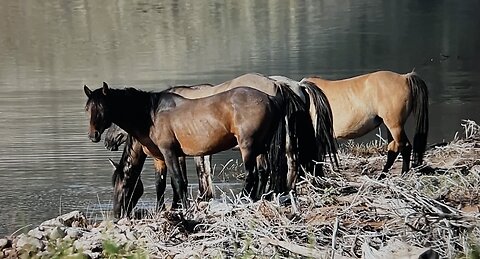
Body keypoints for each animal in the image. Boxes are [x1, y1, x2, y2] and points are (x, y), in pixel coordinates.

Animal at [84, 82, 316, 210]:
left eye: (124, 186)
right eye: (88, 109)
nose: (94, 136)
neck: (151, 115)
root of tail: (271, 96)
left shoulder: (170, 152)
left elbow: (179, 182)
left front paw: (184, 208)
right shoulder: (160, 158)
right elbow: (161, 185)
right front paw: (162, 210)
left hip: (248, 146)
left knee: (252, 175)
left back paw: (243, 199)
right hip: (261, 146)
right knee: (264, 171)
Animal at [302, 70, 430, 175]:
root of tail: (405, 77)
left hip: (395, 126)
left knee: (405, 147)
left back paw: (402, 174)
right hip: (391, 126)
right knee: (394, 149)